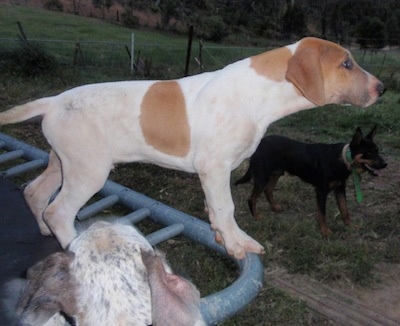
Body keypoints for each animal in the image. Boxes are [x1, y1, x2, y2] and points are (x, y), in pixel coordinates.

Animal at [234, 126, 388, 236]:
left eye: (377, 150)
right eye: (368, 153)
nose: (385, 164)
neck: (343, 159)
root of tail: (259, 144)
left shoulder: (340, 188)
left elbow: (344, 209)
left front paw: (350, 225)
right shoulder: (321, 191)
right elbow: (322, 213)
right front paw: (325, 231)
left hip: (276, 173)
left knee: (268, 190)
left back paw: (275, 207)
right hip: (263, 176)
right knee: (252, 198)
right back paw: (256, 217)